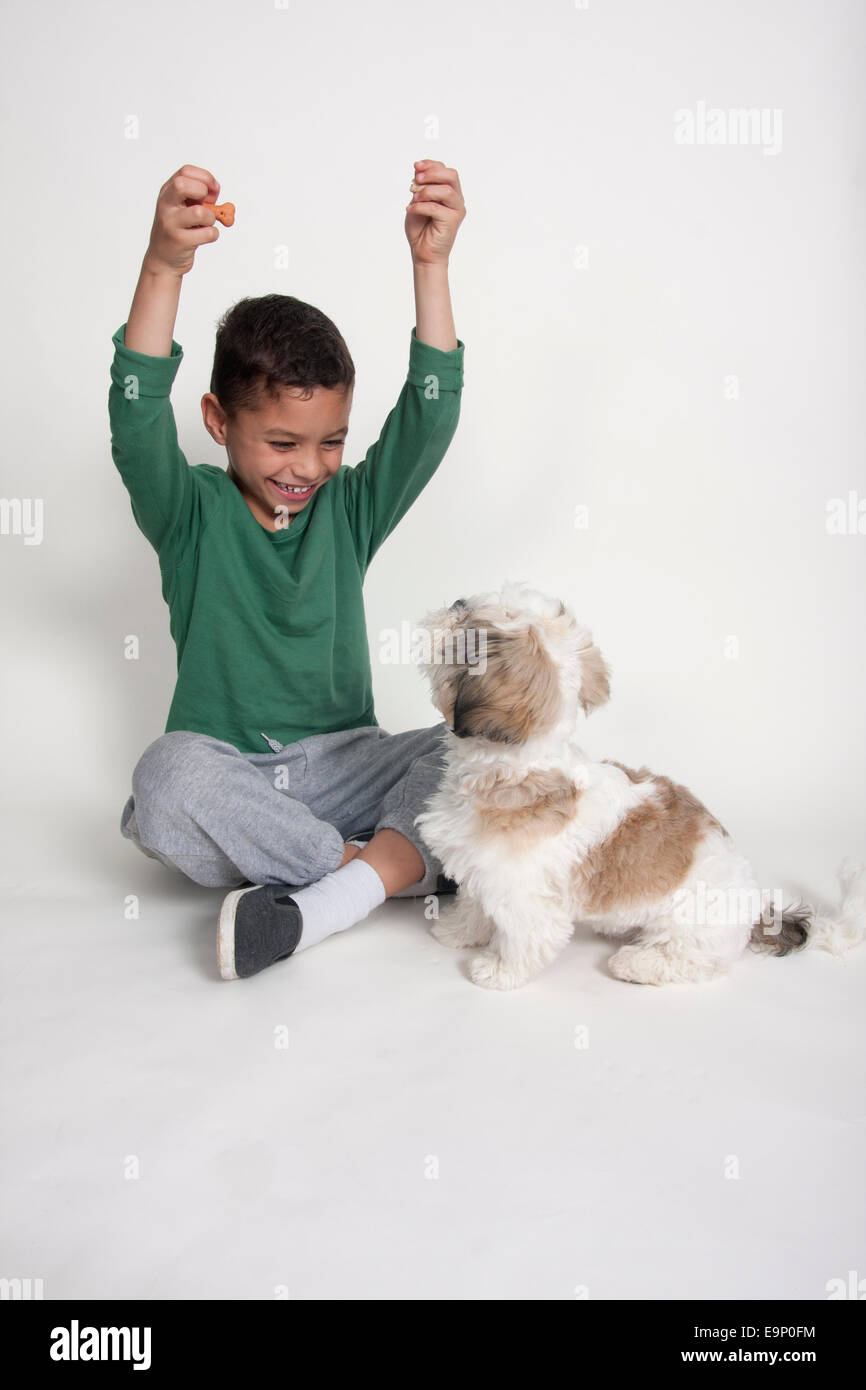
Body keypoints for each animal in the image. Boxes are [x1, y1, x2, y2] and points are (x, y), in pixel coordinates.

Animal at [414, 581, 866, 995]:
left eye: (467, 626)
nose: (456, 602)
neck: (517, 766)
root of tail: (756, 907)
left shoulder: (524, 894)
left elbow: (526, 939)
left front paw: (498, 971)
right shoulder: (481, 868)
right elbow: (475, 906)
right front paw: (457, 931)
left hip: (692, 927)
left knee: (693, 960)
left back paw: (638, 963)